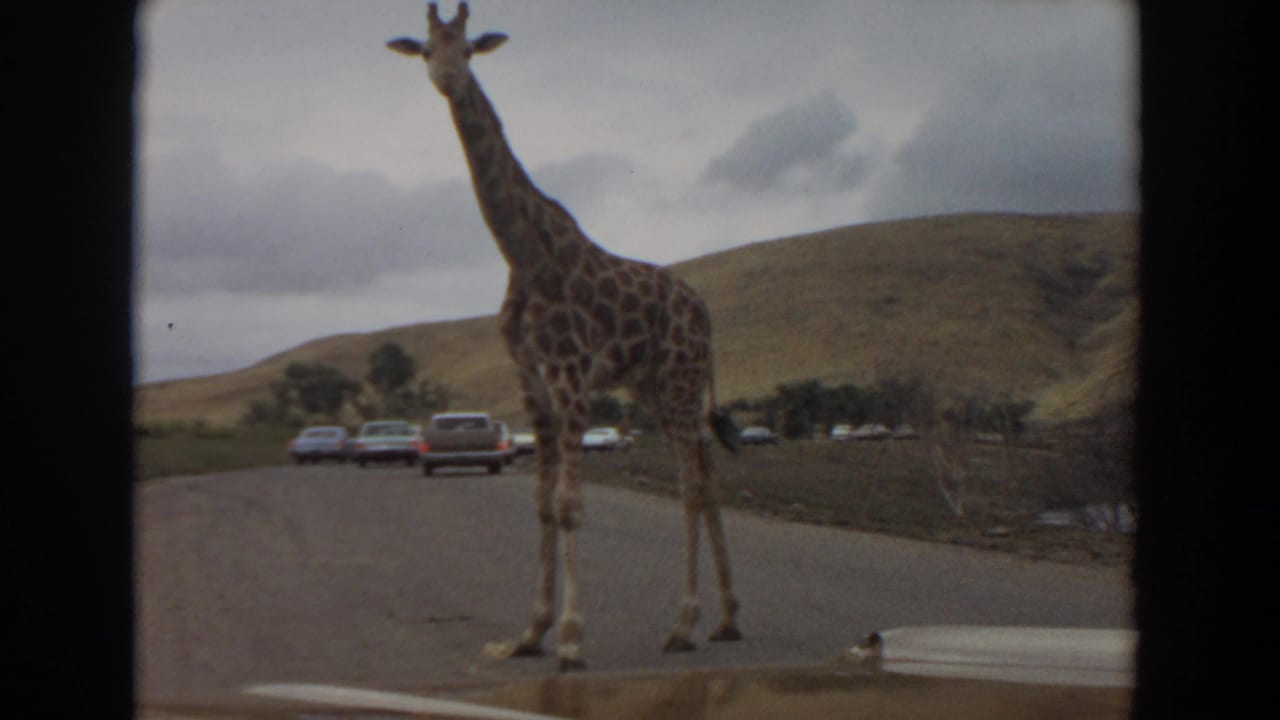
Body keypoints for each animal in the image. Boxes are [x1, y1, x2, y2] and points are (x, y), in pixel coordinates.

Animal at [388, 2, 742, 671]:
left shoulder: (572, 377)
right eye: (424, 49)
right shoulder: (532, 382)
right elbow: (541, 504)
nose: (447, 78)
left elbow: (571, 507)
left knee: (691, 484)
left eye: (467, 49)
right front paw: (529, 634)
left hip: (681, 381)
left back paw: (683, 624)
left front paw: (573, 639)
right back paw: (728, 619)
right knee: (708, 478)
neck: (522, 254)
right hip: (656, 389)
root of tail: (705, 306)